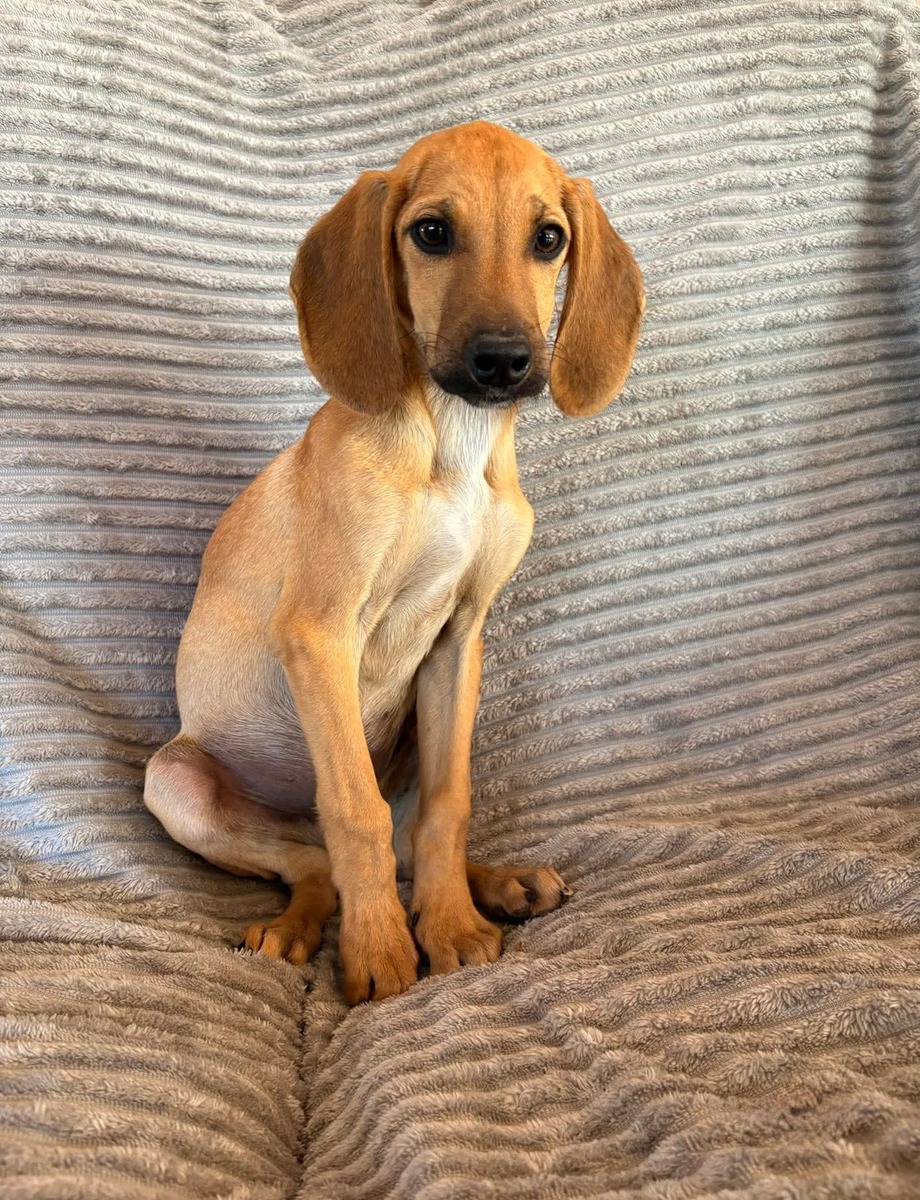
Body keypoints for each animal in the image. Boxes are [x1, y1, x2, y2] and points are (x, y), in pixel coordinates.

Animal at [144, 121, 644, 1005]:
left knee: (399, 841)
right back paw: (295, 929)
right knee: (316, 861)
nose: (503, 362)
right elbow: (356, 812)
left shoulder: (458, 640)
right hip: (177, 785)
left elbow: (449, 808)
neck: (452, 445)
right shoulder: (319, 632)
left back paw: (503, 883)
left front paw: (451, 927)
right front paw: (380, 951)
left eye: (549, 239)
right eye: (432, 232)